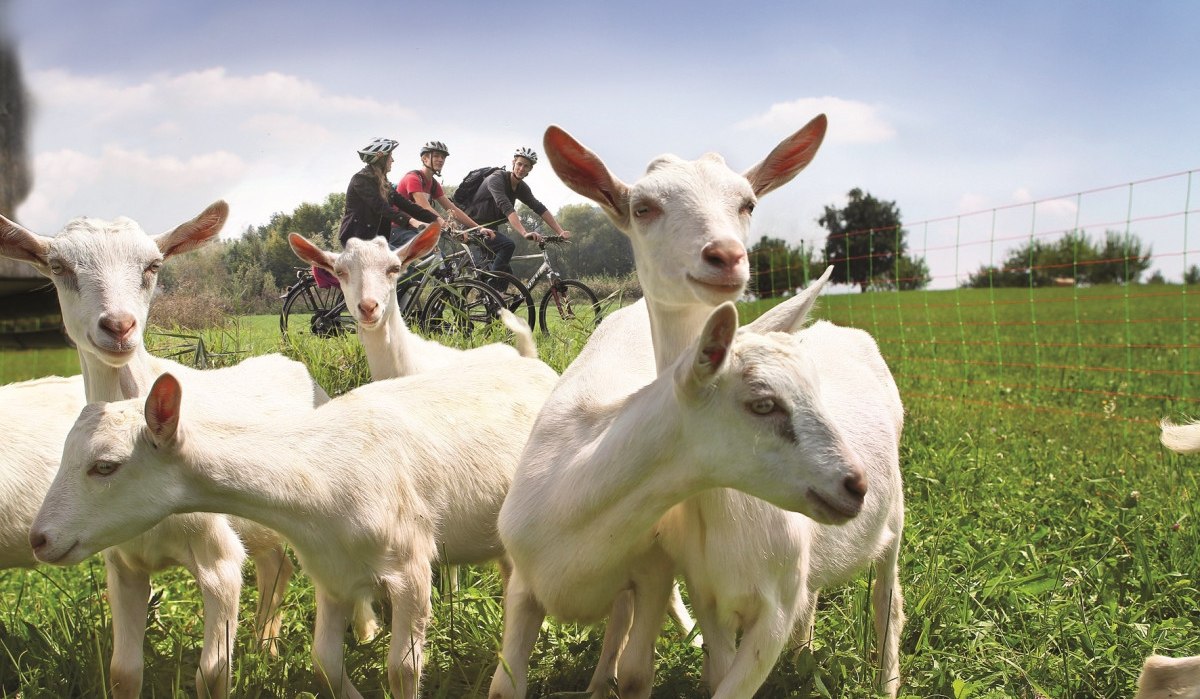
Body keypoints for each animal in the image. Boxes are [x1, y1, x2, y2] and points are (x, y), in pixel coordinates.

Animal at [32, 353, 556, 699]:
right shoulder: (332, 571)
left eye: (105, 466)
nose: (40, 539)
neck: (317, 475)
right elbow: (325, 664)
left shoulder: (410, 565)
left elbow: (403, 670)